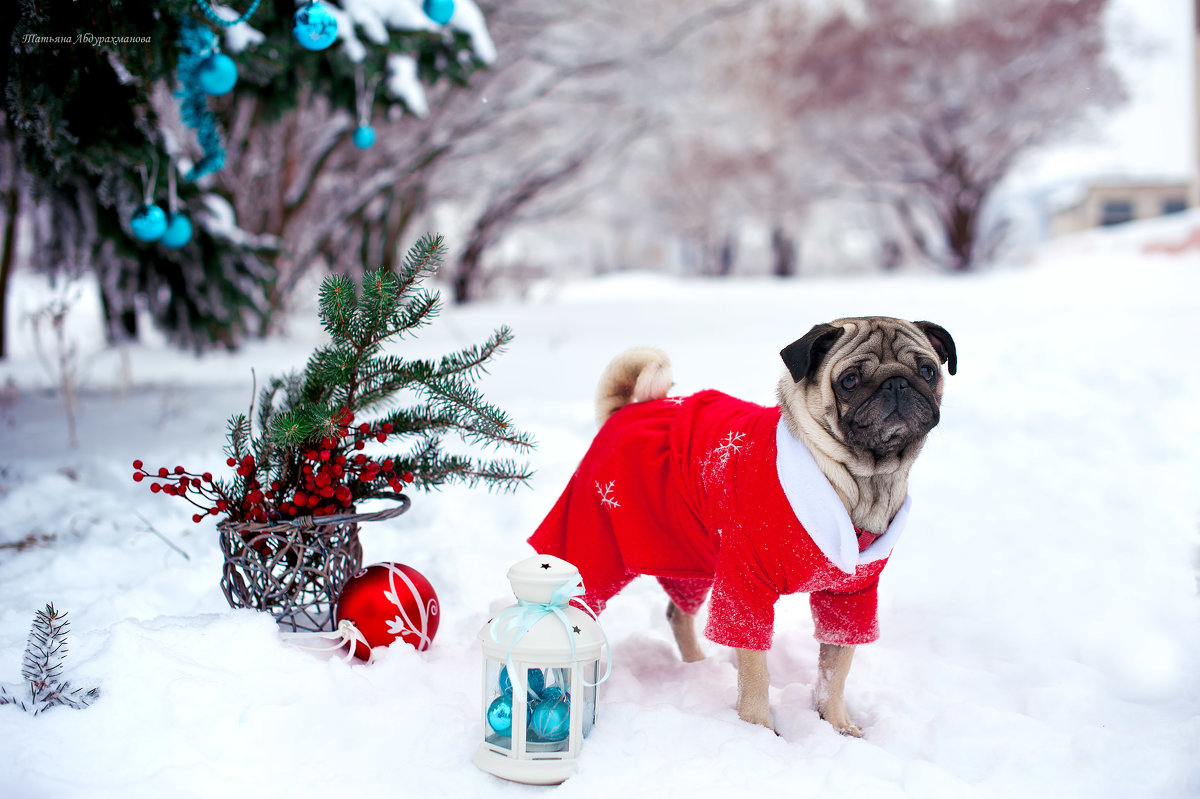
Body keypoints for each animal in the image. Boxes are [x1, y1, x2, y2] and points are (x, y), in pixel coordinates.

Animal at [525, 316, 955, 734]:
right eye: (849, 380)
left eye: (928, 371)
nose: (897, 382)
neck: (861, 482)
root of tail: (626, 411)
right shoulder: (744, 587)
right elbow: (755, 674)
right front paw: (758, 730)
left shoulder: (851, 599)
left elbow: (834, 672)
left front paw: (837, 724)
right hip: (597, 546)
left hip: (691, 555)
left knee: (679, 614)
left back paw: (697, 669)